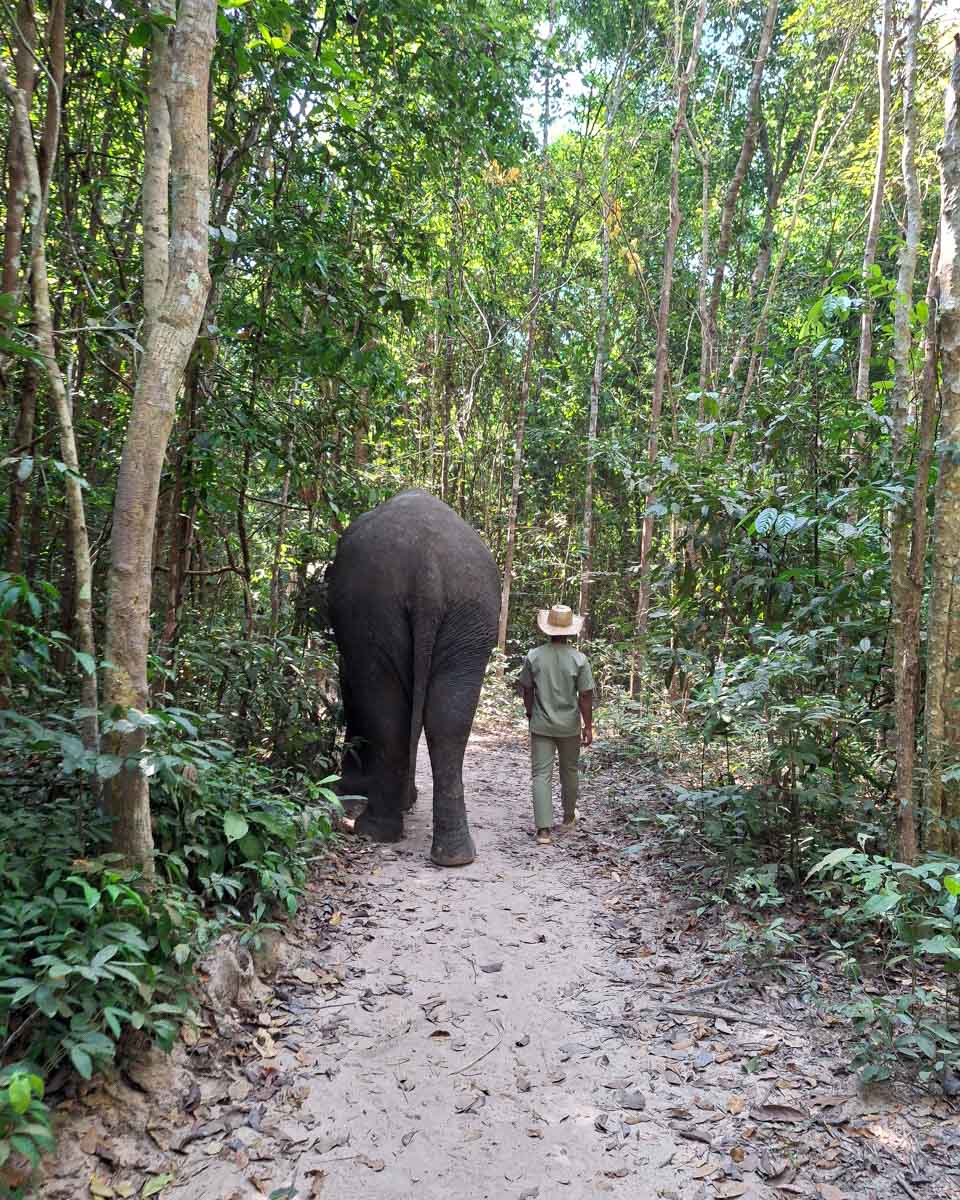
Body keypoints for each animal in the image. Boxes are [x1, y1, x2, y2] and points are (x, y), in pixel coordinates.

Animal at [326, 489, 500, 866]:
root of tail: (427, 567)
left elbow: (350, 685)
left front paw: (350, 787)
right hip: (471, 615)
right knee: (447, 720)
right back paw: (454, 856)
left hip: (372, 611)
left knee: (385, 711)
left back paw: (372, 830)